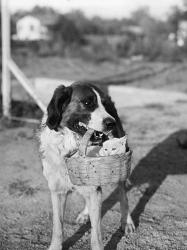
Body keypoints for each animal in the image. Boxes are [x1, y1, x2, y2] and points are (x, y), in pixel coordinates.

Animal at [39, 82, 134, 250]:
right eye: (88, 102)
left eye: (105, 104)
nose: (111, 122)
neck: (71, 145)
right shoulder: (57, 191)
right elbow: (57, 226)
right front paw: (55, 246)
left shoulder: (93, 189)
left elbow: (96, 234)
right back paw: (85, 213)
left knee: (123, 194)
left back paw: (126, 221)